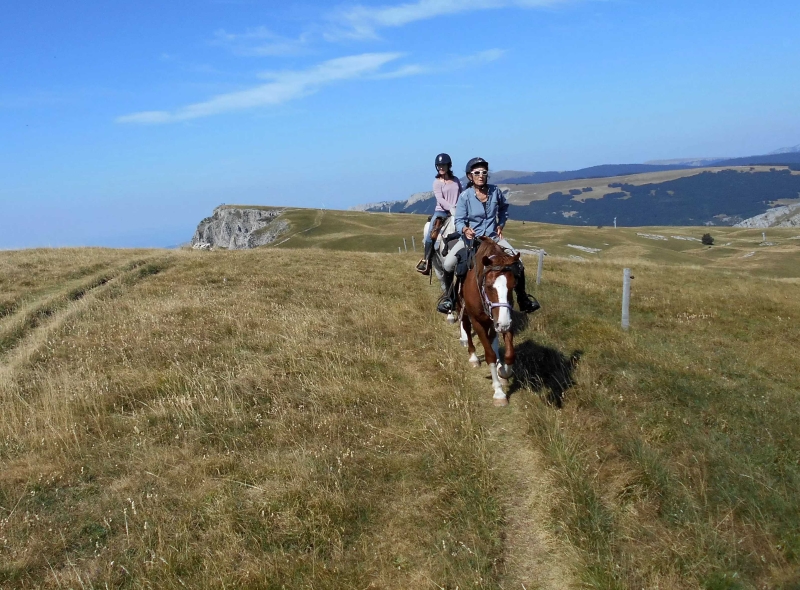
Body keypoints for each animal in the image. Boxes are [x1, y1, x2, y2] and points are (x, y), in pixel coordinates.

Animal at [460, 237, 520, 408]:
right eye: (488, 286)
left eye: (513, 285)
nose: (503, 324)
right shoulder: (478, 322)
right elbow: (490, 355)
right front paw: (499, 393)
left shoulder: (505, 319)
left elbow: (510, 354)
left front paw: (502, 372)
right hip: (464, 312)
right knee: (467, 329)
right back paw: (473, 357)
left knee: (492, 338)